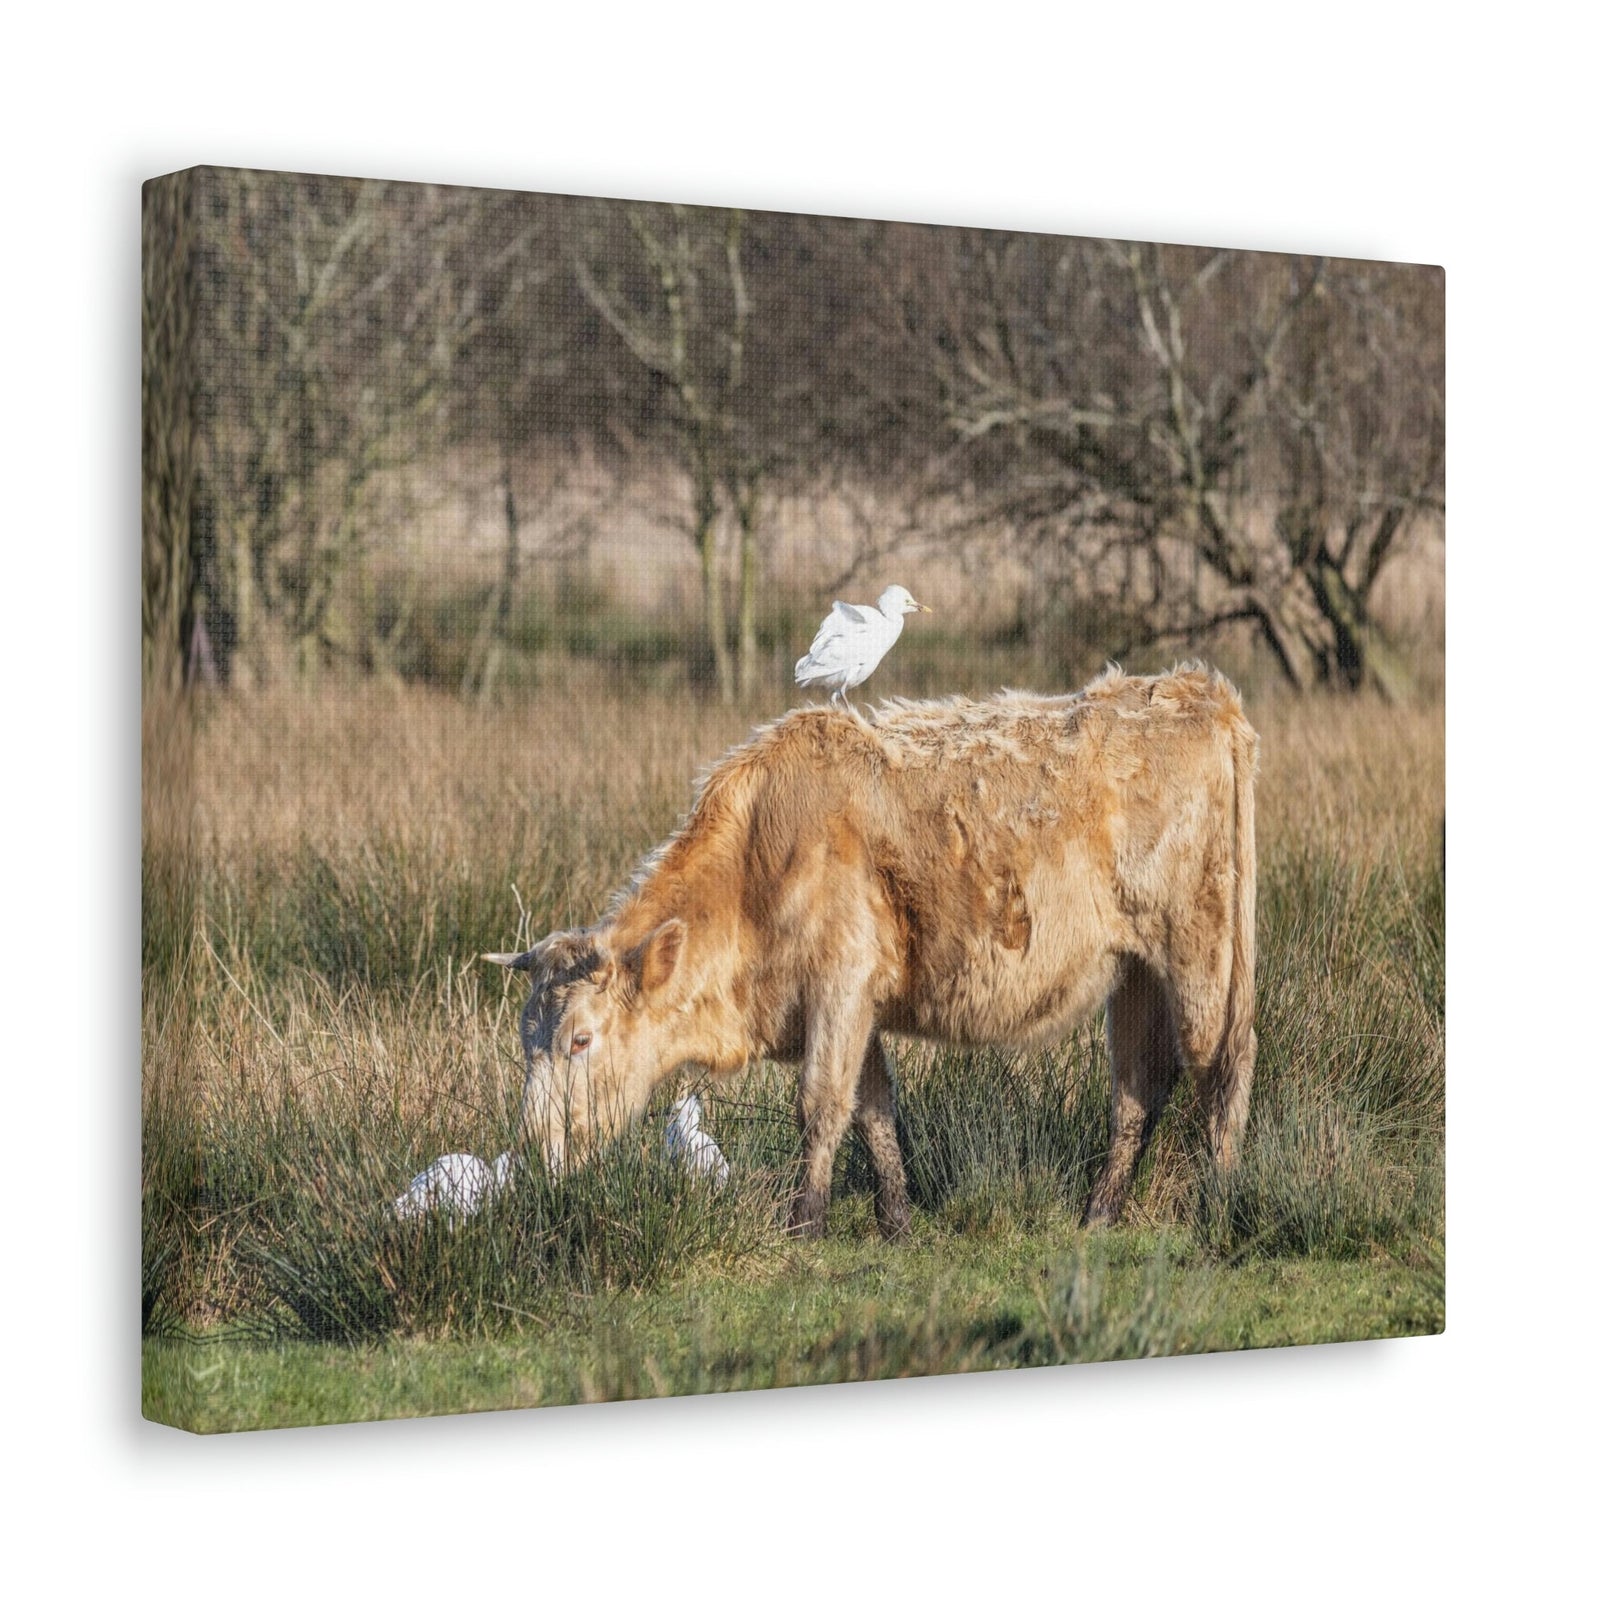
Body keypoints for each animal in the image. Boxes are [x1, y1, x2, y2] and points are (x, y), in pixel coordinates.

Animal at [485, 663, 1259, 1237]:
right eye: (526, 1040)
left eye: (581, 1040)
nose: (534, 1152)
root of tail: (1200, 690)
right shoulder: (857, 1009)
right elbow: (874, 1111)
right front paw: (896, 1221)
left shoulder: (840, 986)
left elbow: (821, 1104)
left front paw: (804, 1223)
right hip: (1136, 971)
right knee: (1137, 1088)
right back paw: (1099, 1212)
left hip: (1202, 949)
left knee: (1222, 1061)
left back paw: (1218, 1197)